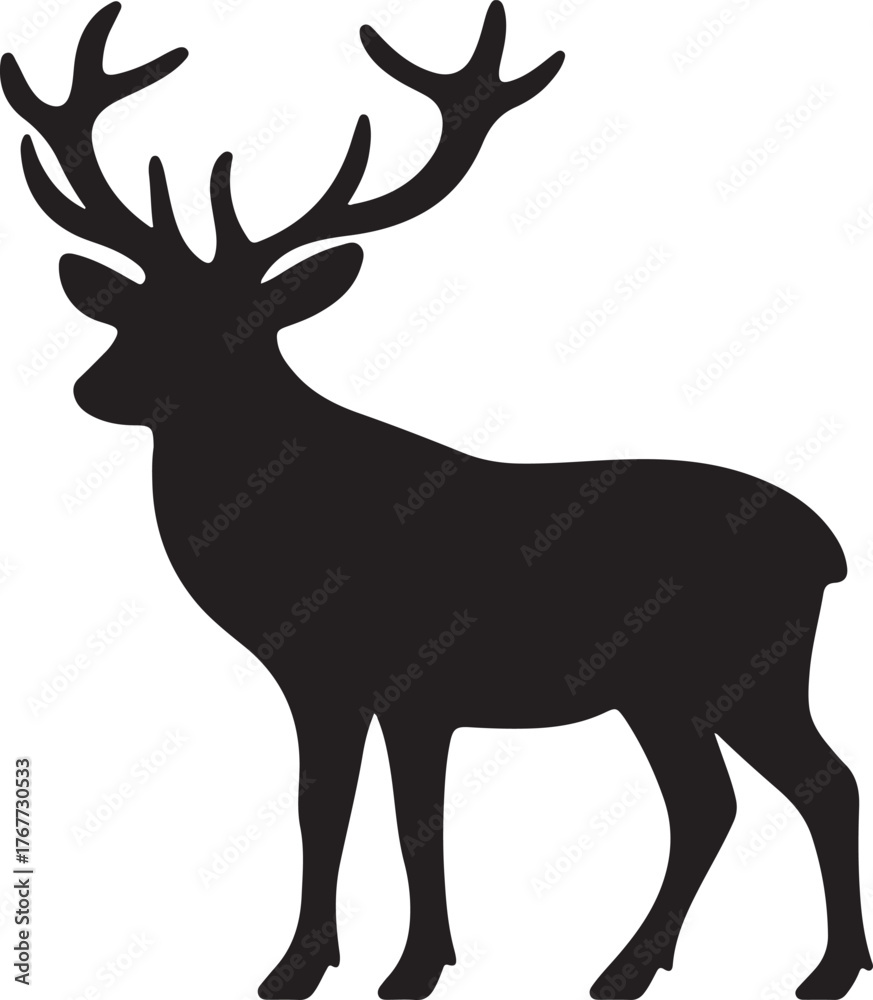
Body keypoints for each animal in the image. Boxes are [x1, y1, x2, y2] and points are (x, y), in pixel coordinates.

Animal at [2, 3, 870, 998]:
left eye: (235, 325)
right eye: (131, 311)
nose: (95, 389)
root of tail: (830, 552)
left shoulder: (417, 676)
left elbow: (413, 818)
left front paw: (407, 967)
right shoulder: (318, 680)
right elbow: (321, 809)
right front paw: (303, 965)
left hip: (733, 670)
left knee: (799, 788)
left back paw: (801, 970)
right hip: (686, 691)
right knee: (732, 800)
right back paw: (651, 967)